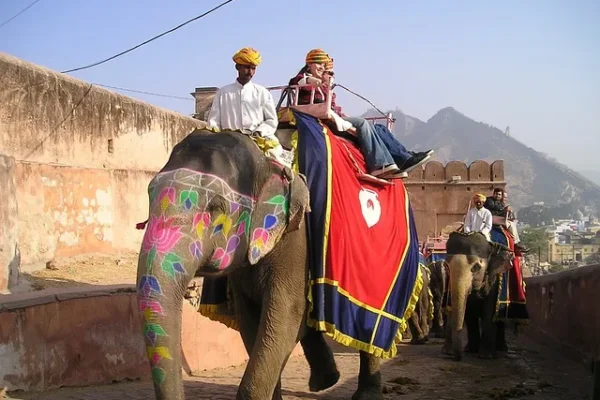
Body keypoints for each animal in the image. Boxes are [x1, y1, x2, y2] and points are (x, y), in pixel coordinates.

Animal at [137, 130, 384, 398]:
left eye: (216, 207)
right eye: (149, 195)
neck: (267, 162)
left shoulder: (297, 243)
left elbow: (286, 315)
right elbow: (252, 321)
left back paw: (364, 393)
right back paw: (326, 381)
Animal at [438, 231, 512, 360]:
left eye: (476, 267)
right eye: (447, 266)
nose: (457, 357)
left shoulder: (494, 278)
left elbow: (489, 311)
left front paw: (486, 356)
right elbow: (467, 312)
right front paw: (466, 350)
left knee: (500, 318)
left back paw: (501, 349)